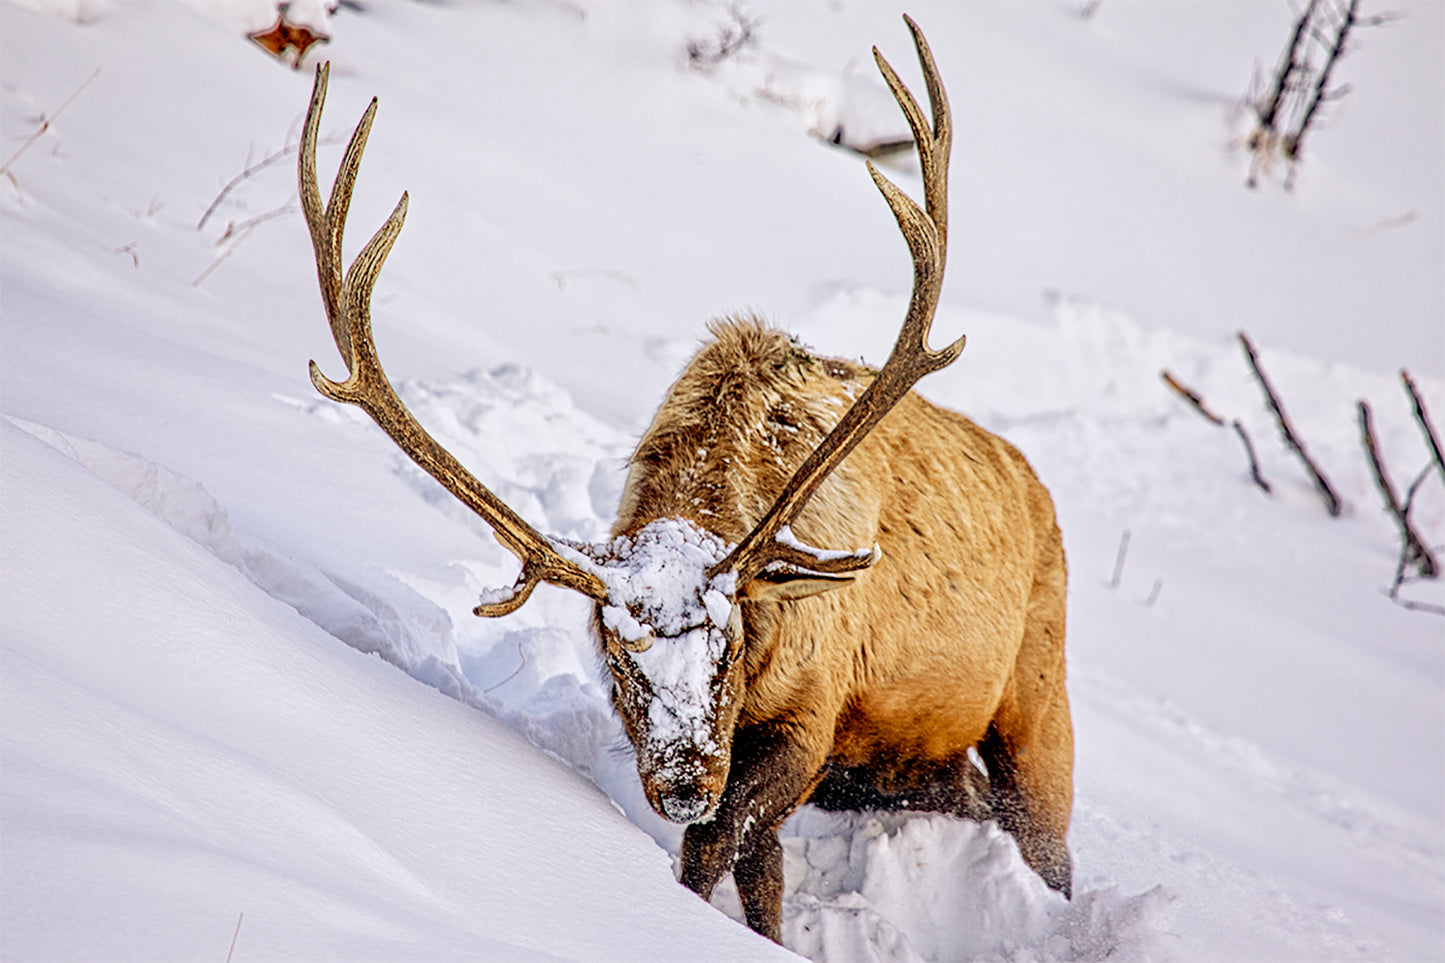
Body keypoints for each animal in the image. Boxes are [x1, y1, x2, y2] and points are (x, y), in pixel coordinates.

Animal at [297, 16, 1072, 945]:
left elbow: (716, 848)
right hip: (899, 760)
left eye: (727, 640)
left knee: (1046, 844)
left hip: (1036, 697)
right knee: (957, 799)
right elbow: (757, 868)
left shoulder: (810, 715)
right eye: (618, 655)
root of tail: (1037, 490)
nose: (682, 781)